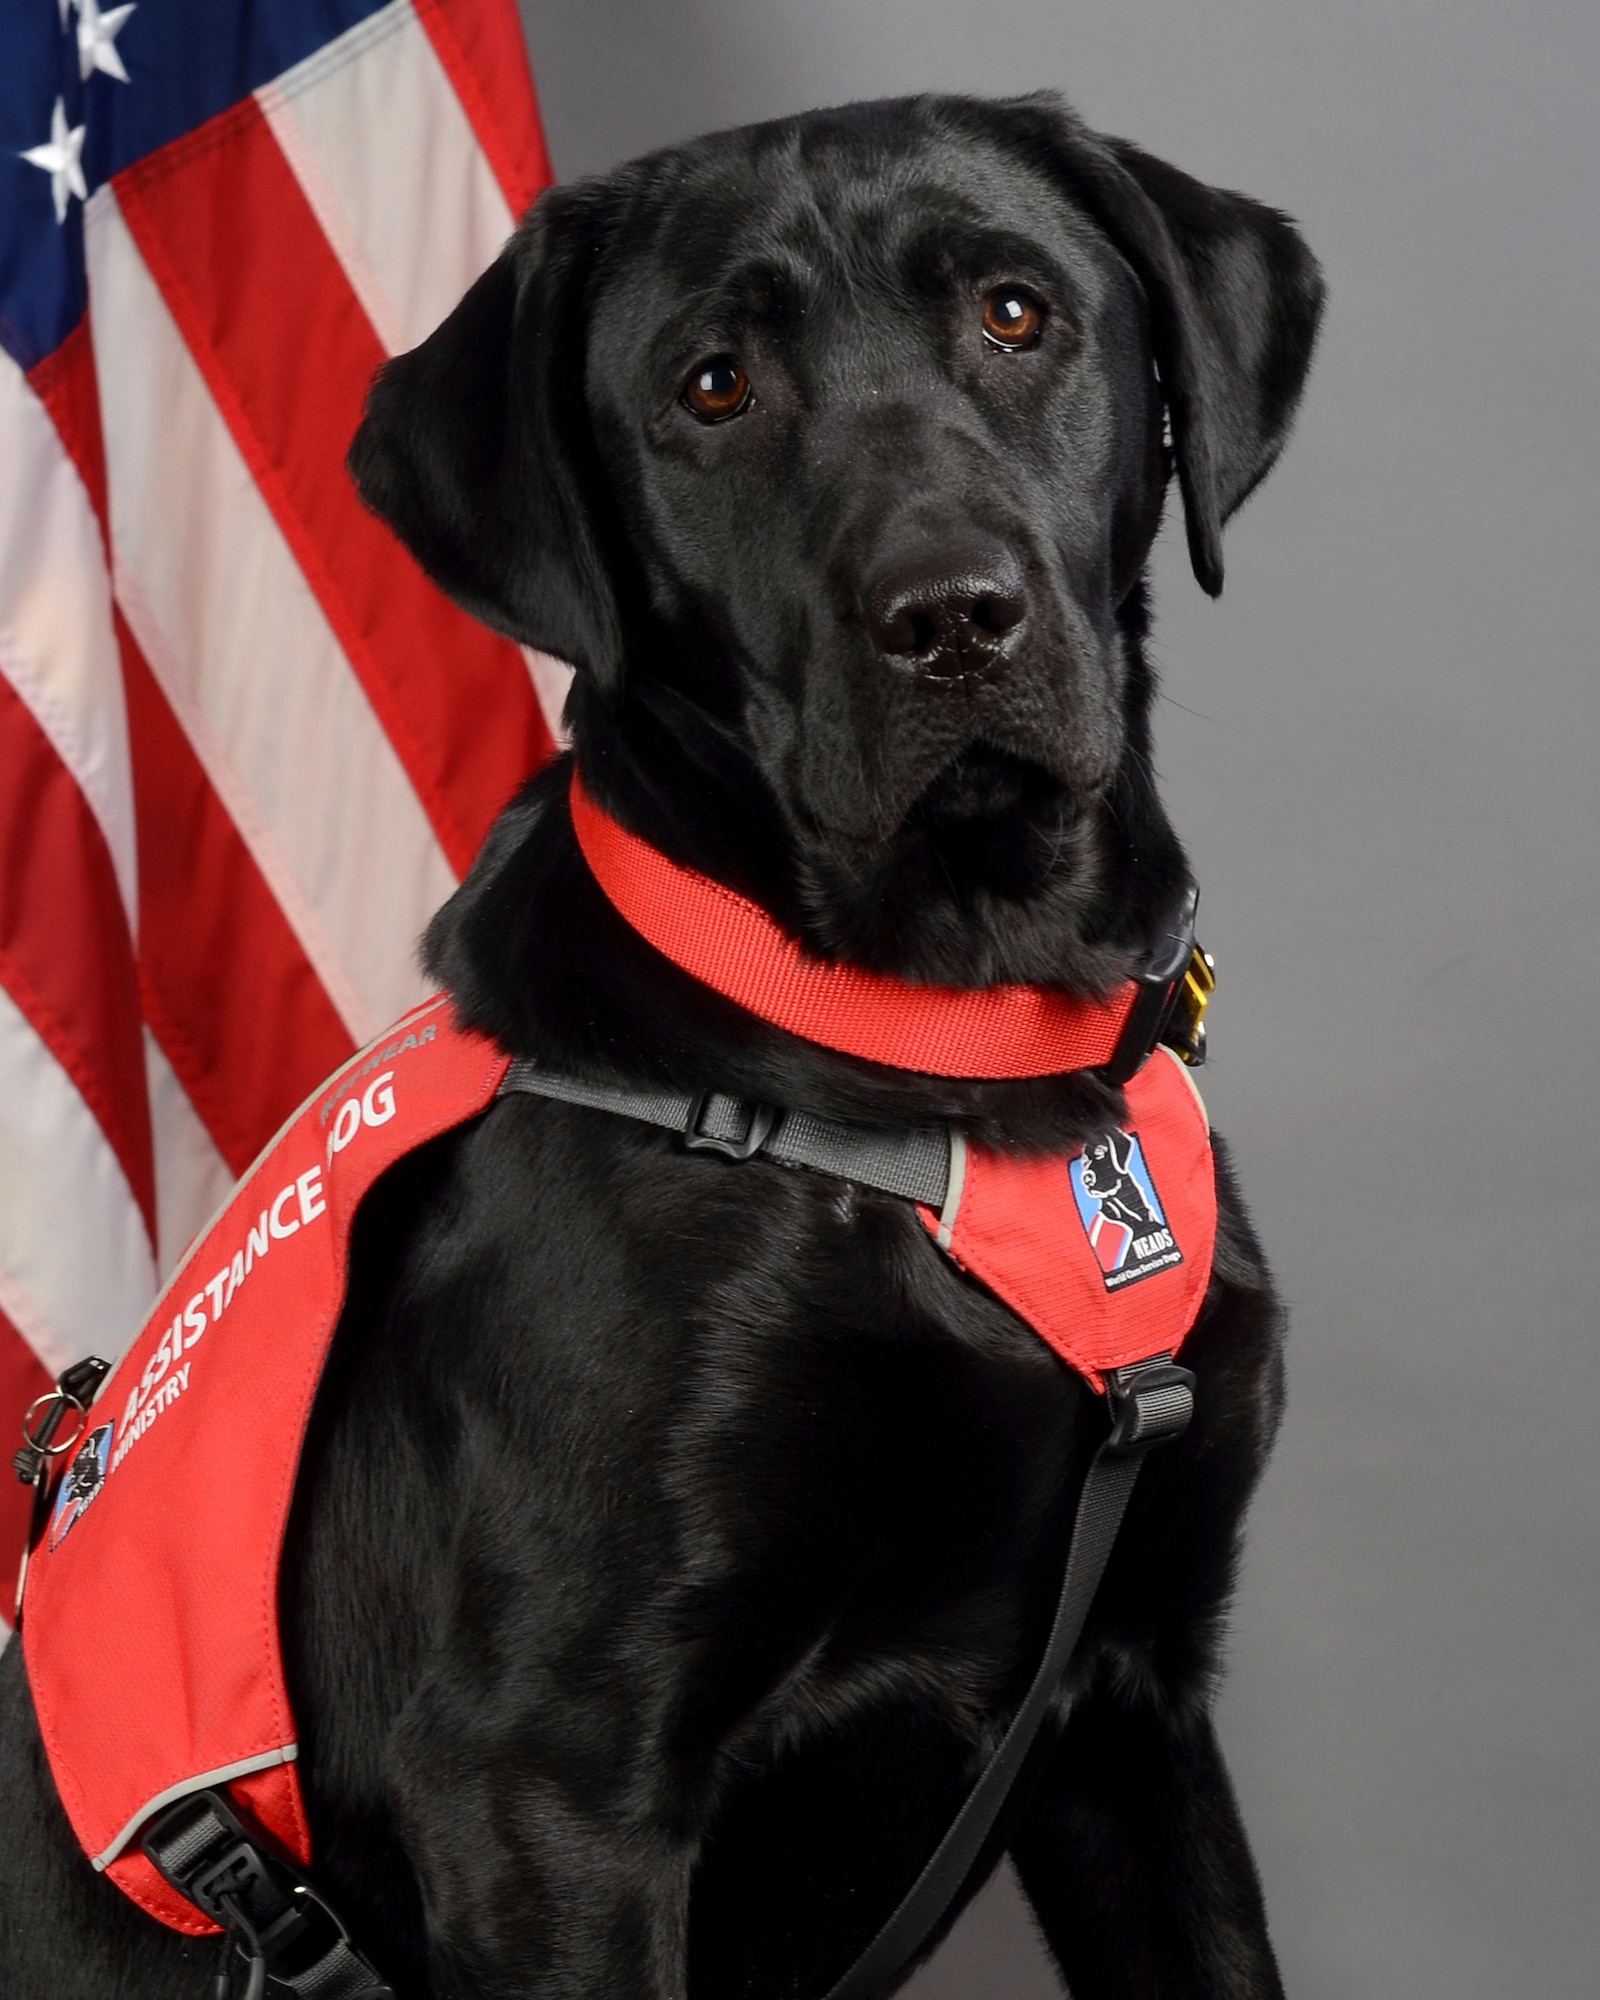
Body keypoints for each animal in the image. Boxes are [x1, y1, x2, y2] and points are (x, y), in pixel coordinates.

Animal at [0, 90, 1328, 2000]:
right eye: (715, 387)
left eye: (1015, 313)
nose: (952, 614)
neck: (945, 1054)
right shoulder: (552, 1792)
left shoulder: (1137, 1701)